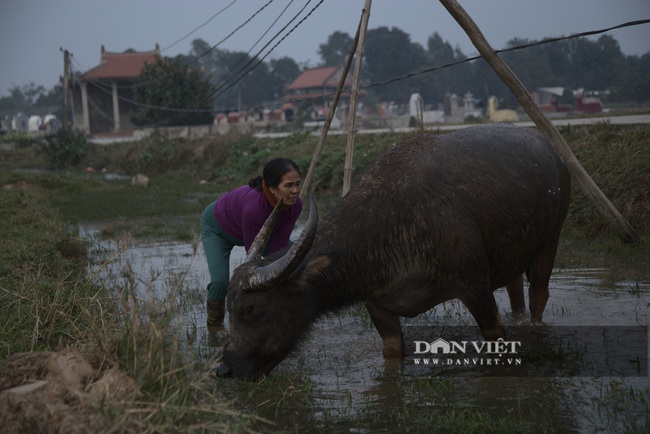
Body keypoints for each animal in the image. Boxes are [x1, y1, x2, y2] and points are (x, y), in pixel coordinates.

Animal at [216, 123, 568, 380]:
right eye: (229, 308)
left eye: (250, 309)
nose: (225, 369)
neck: (391, 226)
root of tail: (551, 149)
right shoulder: (379, 307)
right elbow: (393, 353)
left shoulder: (475, 288)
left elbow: (495, 338)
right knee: (516, 290)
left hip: (552, 239)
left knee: (539, 292)